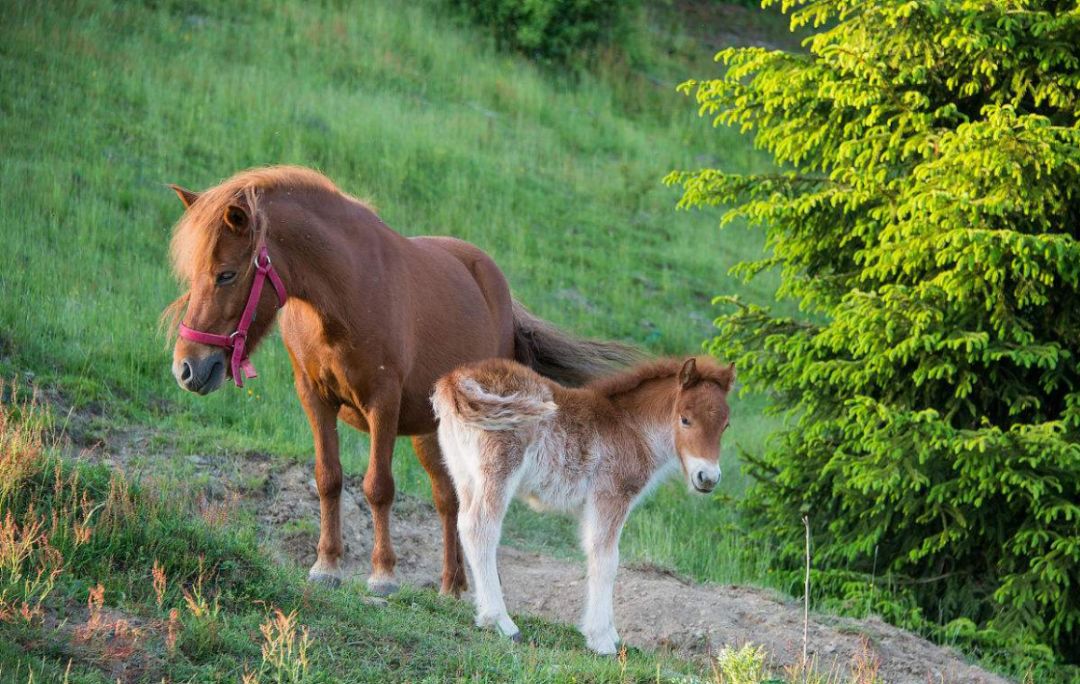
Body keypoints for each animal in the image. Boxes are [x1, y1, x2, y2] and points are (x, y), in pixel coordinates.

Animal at [164, 168, 635, 596]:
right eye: (194, 274)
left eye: (226, 274)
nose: (188, 368)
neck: (344, 295)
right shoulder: (314, 398)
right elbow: (328, 477)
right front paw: (326, 565)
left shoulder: (382, 402)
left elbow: (378, 486)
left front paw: (383, 575)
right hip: (431, 431)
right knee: (449, 499)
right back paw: (451, 585)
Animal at [429, 354, 734, 652]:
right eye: (685, 419)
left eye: (726, 425)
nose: (708, 477)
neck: (632, 427)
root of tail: (454, 379)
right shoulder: (610, 495)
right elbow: (606, 558)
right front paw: (601, 640)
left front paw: (610, 633)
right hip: (499, 467)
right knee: (480, 528)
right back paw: (501, 622)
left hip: (463, 474)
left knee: (463, 522)